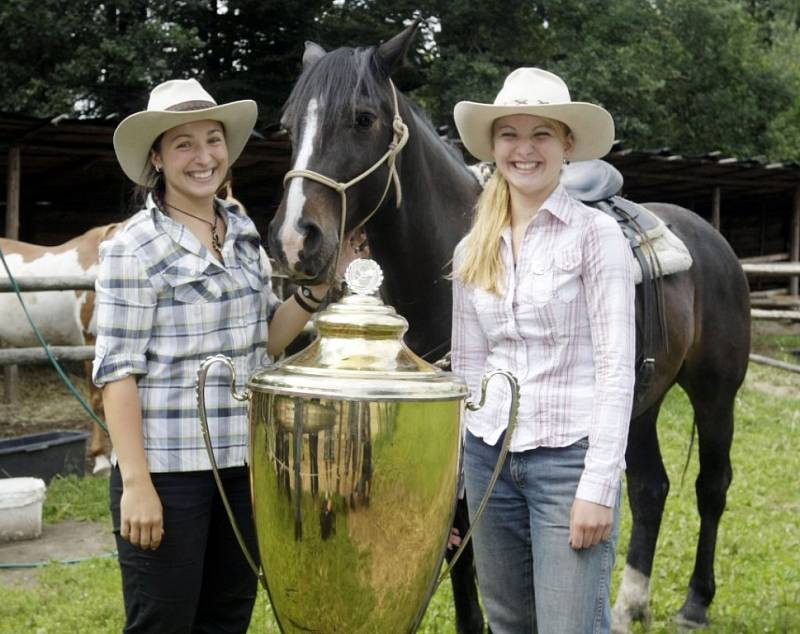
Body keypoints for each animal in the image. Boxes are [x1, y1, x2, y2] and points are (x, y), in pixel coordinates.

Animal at [268, 22, 752, 628]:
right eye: (288, 126)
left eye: (363, 118)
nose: (293, 241)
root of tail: (711, 238)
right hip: (640, 402)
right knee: (649, 487)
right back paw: (628, 606)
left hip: (714, 393)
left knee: (712, 487)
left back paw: (693, 604)